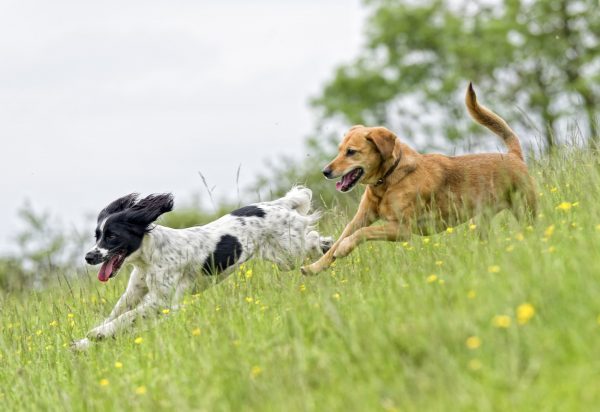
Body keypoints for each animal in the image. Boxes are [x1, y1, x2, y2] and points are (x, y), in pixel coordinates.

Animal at [73, 187, 332, 350]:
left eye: (112, 236)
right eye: (97, 236)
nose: (88, 256)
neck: (148, 257)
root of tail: (281, 204)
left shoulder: (162, 301)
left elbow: (127, 317)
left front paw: (98, 334)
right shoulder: (135, 292)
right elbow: (118, 313)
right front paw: (83, 344)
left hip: (288, 254)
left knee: (311, 239)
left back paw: (324, 250)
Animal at [302, 83, 536, 276]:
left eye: (351, 152)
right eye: (339, 150)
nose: (325, 171)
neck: (387, 180)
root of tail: (513, 155)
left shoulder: (401, 229)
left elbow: (361, 234)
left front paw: (343, 249)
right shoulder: (361, 218)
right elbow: (338, 241)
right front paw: (314, 267)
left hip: (525, 209)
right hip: (481, 221)